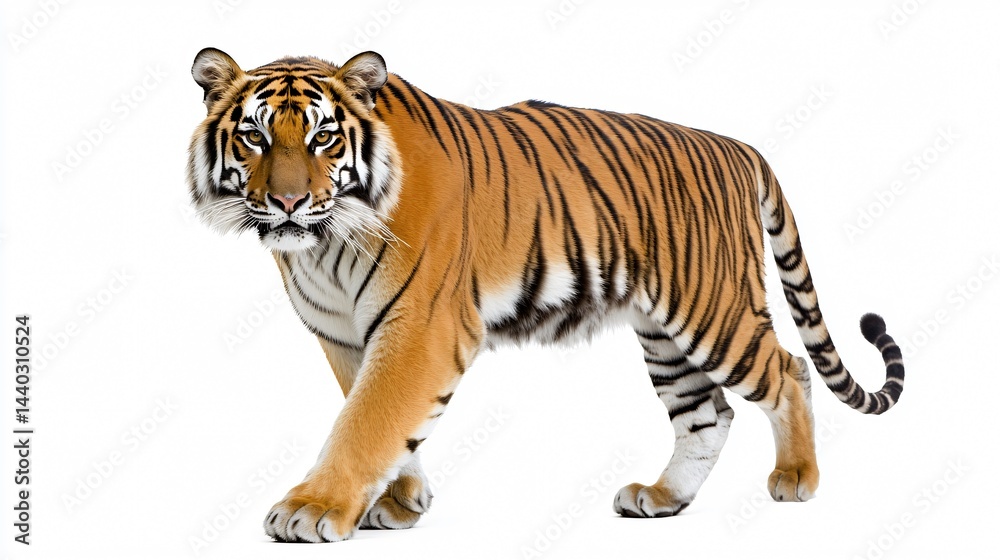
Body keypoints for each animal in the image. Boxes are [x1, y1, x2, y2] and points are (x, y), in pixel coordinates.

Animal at [187, 48, 905, 543]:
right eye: (253, 137)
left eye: (323, 137)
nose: (287, 202)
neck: (325, 244)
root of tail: (739, 146)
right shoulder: (343, 334)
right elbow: (379, 418)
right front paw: (398, 502)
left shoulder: (420, 327)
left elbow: (367, 420)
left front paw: (313, 509)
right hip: (662, 334)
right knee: (708, 413)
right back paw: (663, 497)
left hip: (713, 310)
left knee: (789, 370)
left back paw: (797, 479)